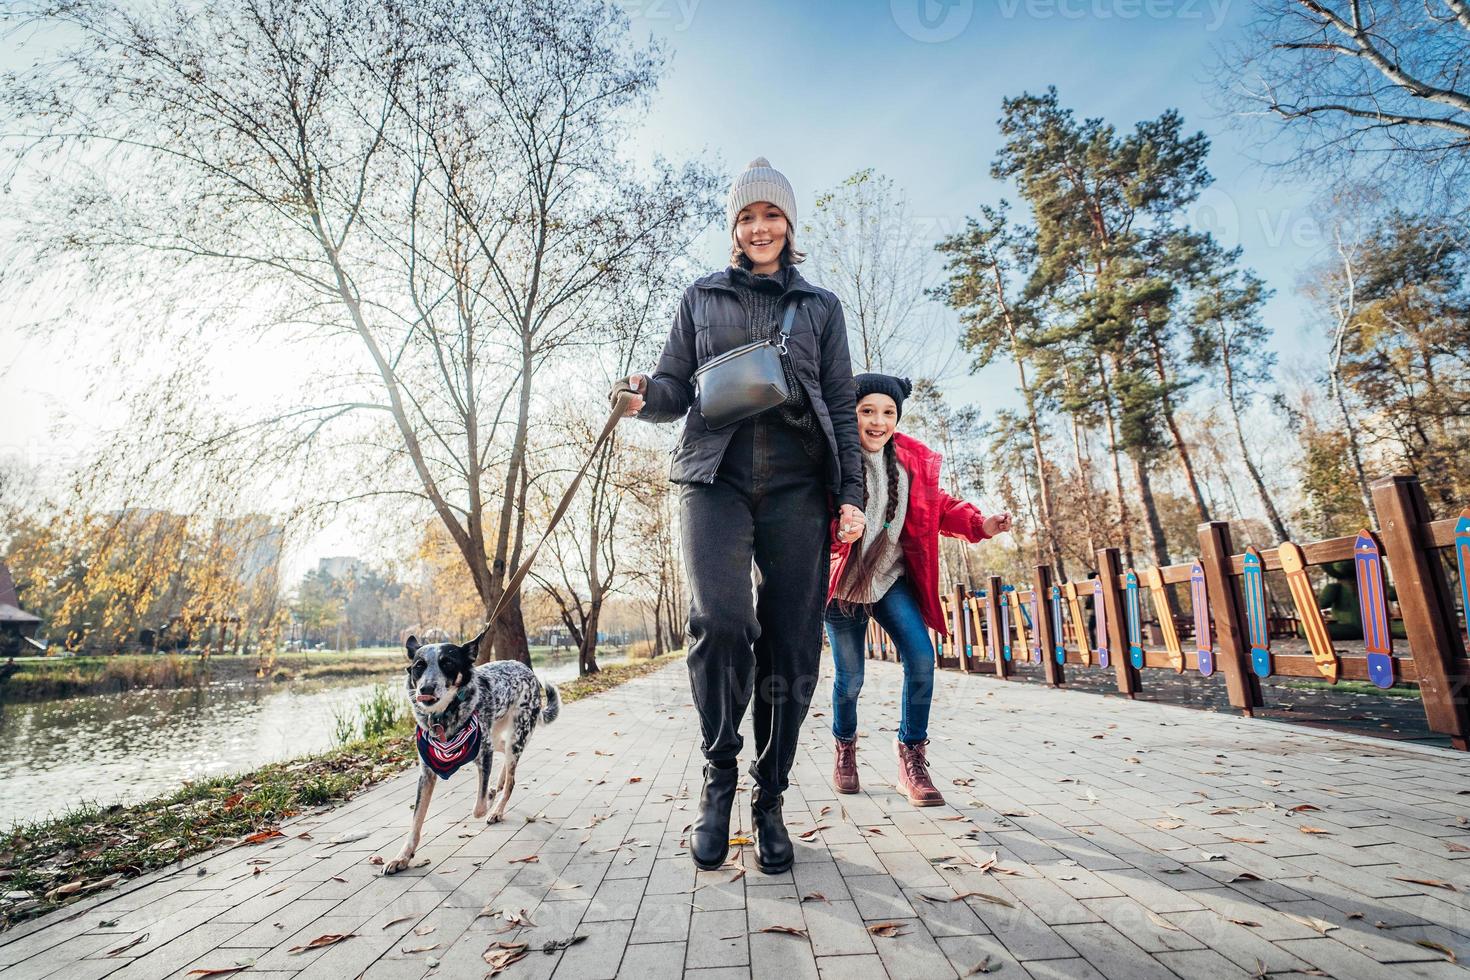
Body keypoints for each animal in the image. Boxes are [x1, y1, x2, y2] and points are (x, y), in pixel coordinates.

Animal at [382, 637, 558, 875]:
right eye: (419, 665)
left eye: (447, 663)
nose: (425, 688)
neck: (444, 717)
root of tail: (526, 669)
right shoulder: (427, 773)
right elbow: (416, 820)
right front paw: (402, 857)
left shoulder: (484, 753)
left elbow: (479, 807)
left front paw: (489, 798)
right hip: (500, 736)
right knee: (505, 759)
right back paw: (498, 784)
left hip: (517, 736)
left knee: (511, 780)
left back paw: (497, 808)